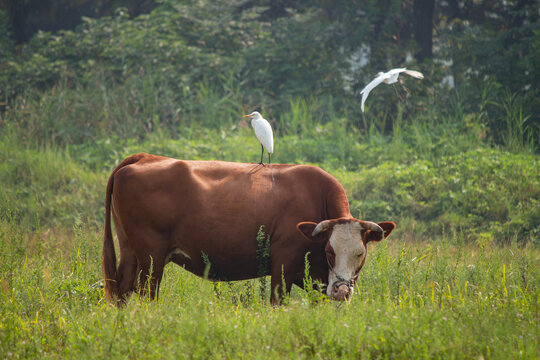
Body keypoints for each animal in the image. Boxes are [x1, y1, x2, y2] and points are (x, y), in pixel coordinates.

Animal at [102, 153, 396, 306]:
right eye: (329, 251)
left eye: (361, 254)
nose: (342, 291)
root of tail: (144, 157)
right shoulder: (283, 264)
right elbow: (277, 302)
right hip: (151, 258)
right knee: (145, 293)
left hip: (130, 251)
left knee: (122, 291)